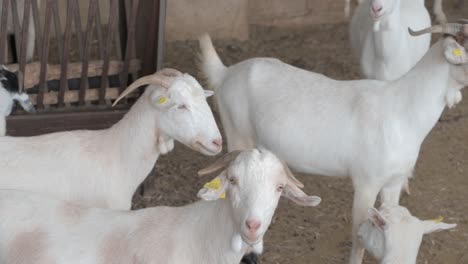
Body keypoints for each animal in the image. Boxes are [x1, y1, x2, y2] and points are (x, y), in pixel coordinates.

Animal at [198, 19, 468, 264]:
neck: (402, 109)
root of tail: (226, 73)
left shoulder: (394, 181)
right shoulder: (366, 182)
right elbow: (358, 238)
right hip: (237, 133)